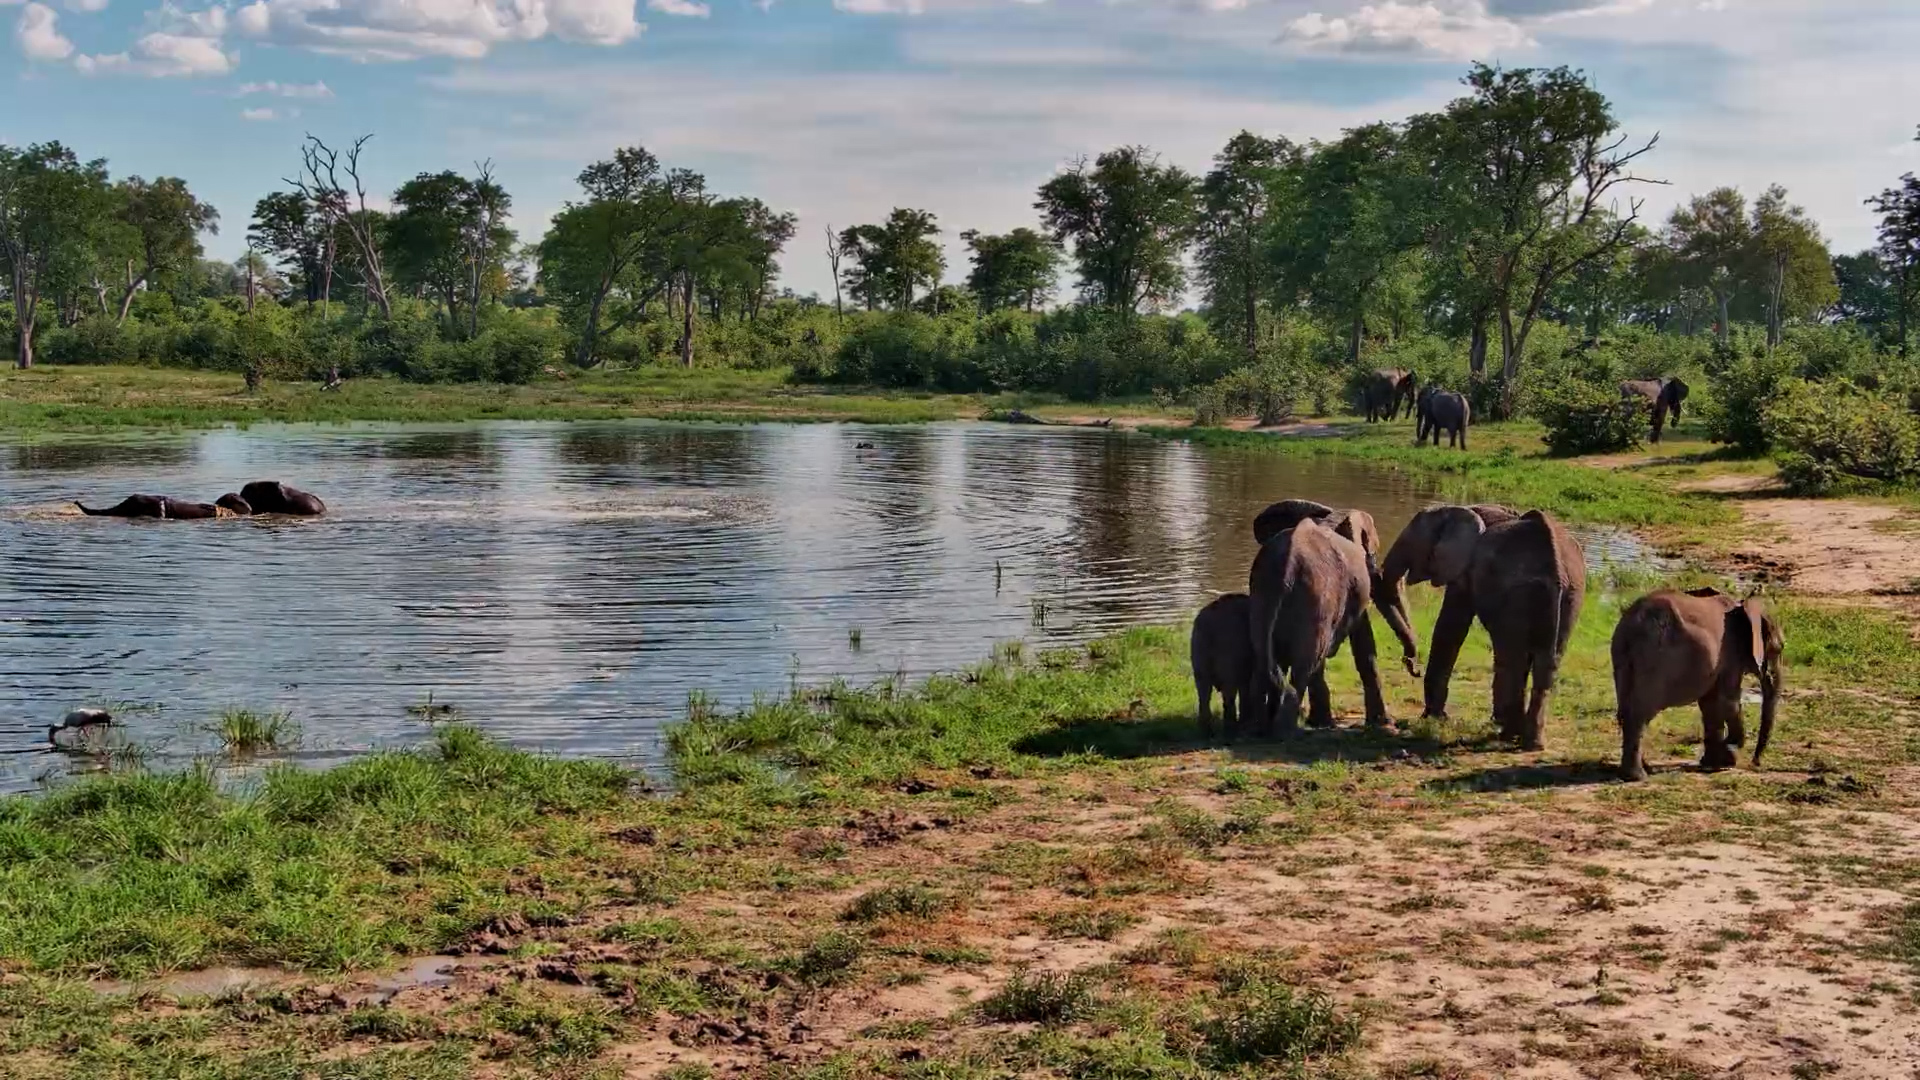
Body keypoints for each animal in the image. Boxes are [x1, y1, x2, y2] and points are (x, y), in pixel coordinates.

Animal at [1190, 593, 1254, 738]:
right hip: (1229, 647)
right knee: (1229, 691)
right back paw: (1231, 730)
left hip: (1198, 648)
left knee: (1203, 691)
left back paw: (1207, 732)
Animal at [1246, 518, 1391, 734]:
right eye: (1372, 560)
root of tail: (1286, 567)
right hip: (1315, 596)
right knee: (1304, 665)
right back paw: (1286, 731)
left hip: (1262, 596)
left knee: (1266, 660)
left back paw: (1259, 729)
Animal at [1373, 505, 1585, 748]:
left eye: (1409, 543)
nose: (1413, 666)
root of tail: (1557, 568)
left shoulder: (1464, 569)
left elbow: (1450, 628)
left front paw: (1432, 720)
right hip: (1571, 596)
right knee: (1546, 661)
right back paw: (1530, 742)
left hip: (1518, 596)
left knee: (1511, 657)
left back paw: (1506, 733)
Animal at [1610, 587, 1782, 781]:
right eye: (1778, 649)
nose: (1755, 762)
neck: (1743, 606)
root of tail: (1631, 624)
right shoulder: (1730, 654)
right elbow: (1728, 703)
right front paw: (1728, 755)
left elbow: (1709, 705)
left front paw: (1714, 763)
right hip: (1653, 659)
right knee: (1640, 713)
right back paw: (1637, 776)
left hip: (1622, 657)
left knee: (1625, 710)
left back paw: (1643, 769)